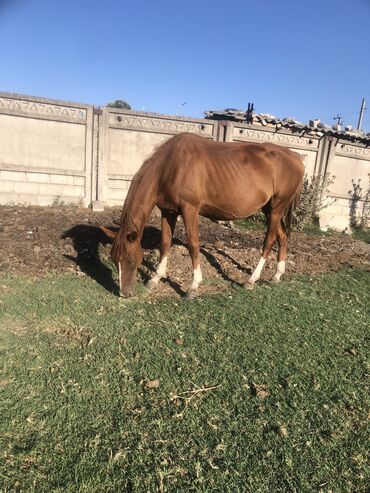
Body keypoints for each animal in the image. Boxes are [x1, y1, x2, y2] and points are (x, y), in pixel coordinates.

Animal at [101, 131, 304, 298]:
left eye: (129, 259)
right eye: (114, 259)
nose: (124, 293)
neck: (170, 165)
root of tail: (295, 157)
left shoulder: (190, 210)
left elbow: (193, 245)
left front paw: (193, 287)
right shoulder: (168, 212)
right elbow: (165, 243)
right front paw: (155, 279)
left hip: (277, 208)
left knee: (269, 240)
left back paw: (251, 280)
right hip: (269, 209)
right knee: (283, 237)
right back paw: (277, 275)